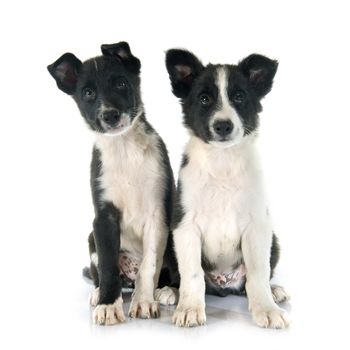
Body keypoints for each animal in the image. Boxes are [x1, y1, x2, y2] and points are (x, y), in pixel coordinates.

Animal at [47, 41, 176, 326]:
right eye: (87, 93)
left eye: (121, 83)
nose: (110, 115)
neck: (124, 148)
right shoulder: (104, 219)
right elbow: (108, 267)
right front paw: (108, 305)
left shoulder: (157, 215)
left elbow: (149, 266)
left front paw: (143, 302)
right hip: (91, 239)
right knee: (101, 271)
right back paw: (98, 293)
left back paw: (167, 291)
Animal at [166, 48, 290, 328]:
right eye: (204, 99)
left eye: (239, 97)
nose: (223, 125)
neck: (222, 163)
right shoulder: (185, 224)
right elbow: (192, 273)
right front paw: (189, 308)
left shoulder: (257, 225)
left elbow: (258, 273)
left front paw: (267, 308)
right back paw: (168, 291)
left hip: (274, 241)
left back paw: (275, 291)